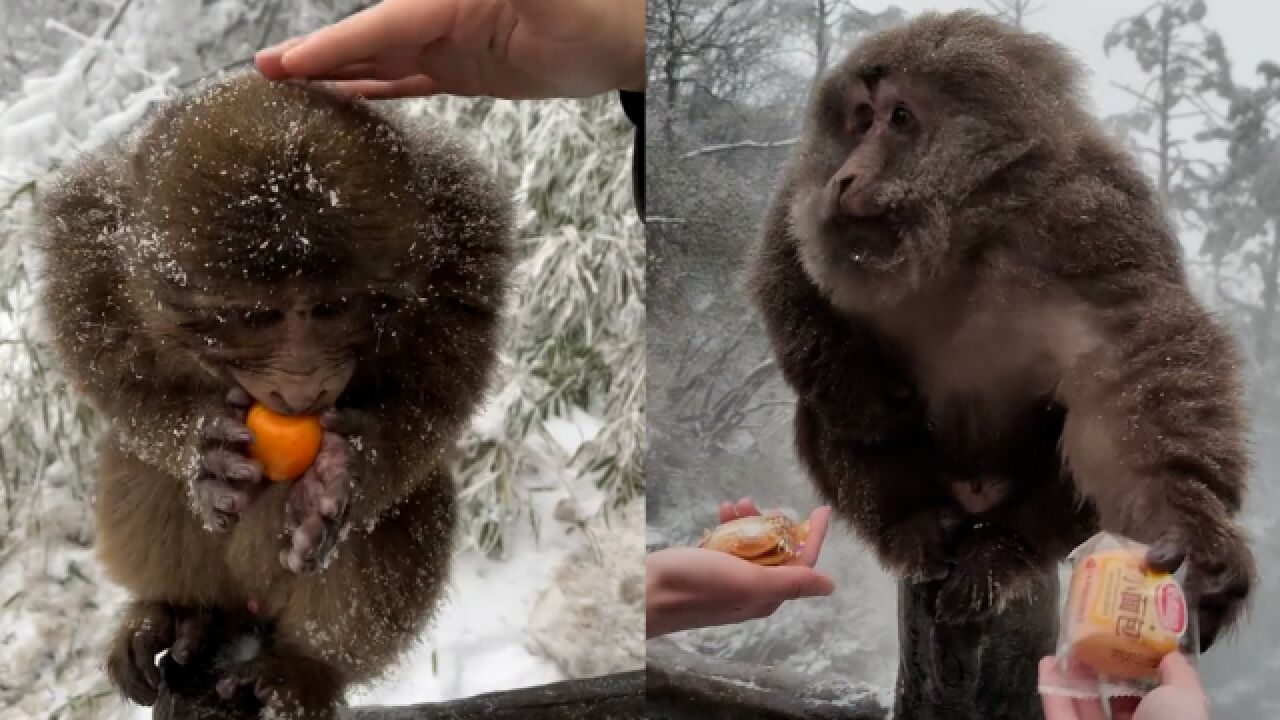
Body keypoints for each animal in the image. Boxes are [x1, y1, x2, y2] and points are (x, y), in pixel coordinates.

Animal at [40, 70, 509, 712]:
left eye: (333, 307)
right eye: (257, 317)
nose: (303, 385)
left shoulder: (463, 246)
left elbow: (442, 393)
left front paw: (340, 478)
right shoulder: (97, 241)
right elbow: (101, 363)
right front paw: (202, 450)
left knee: (410, 507)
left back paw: (308, 666)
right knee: (138, 464)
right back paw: (175, 611)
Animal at [747, 9, 1254, 645]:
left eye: (900, 118)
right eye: (860, 120)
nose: (845, 176)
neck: (961, 230)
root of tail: (973, 502)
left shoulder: (1091, 218)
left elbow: (1134, 354)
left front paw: (1192, 530)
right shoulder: (813, 206)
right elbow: (789, 276)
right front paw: (861, 386)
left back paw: (1006, 551)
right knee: (827, 412)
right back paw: (910, 522)